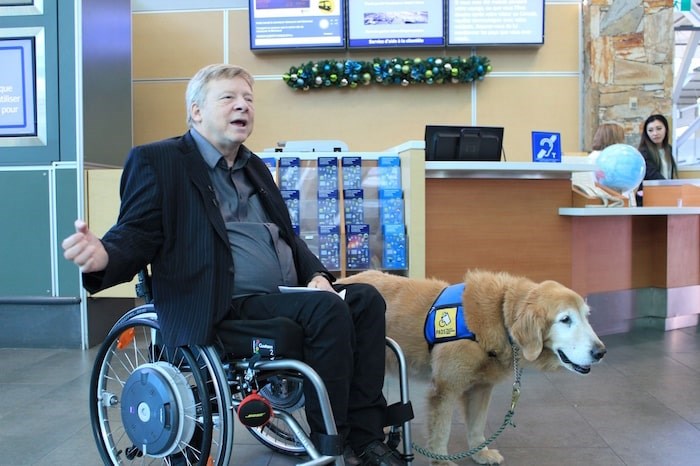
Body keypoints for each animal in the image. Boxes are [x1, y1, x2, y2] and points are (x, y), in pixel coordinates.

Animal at [336, 270, 604, 466]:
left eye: (586, 316)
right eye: (565, 319)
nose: (601, 352)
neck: (499, 313)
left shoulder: (481, 388)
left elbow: (476, 425)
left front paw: (480, 453)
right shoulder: (444, 390)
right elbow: (441, 430)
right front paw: (442, 461)